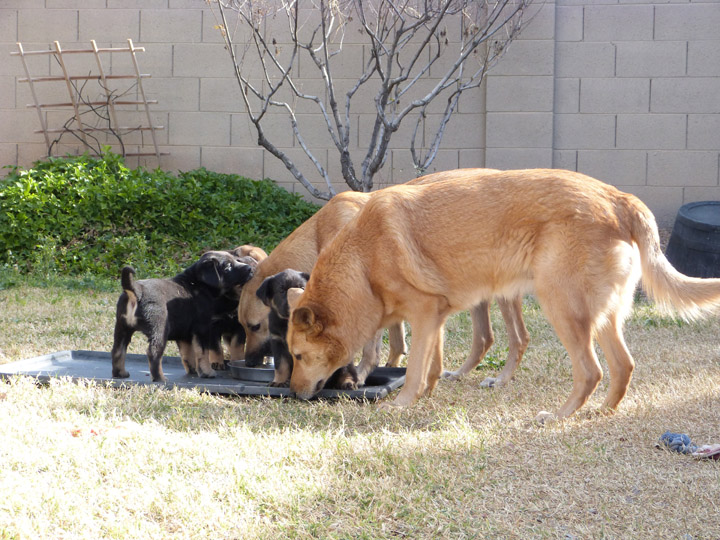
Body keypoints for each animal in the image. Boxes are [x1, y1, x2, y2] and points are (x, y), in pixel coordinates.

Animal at [109, 251, 256, 382]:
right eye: (228, 266)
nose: (250, 269)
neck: (198, 284)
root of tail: (136, 290)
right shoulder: (203, 329)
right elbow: (203, 353)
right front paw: (207, 372)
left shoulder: (184, 334)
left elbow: (188, 354)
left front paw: (193, 371)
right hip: (159, 330)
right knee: (153, 353)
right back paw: (160, 378)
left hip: (122, 328)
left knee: (117, 350)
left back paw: (120, 373)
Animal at [284, 169, 720, 422]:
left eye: (299, 356)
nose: (294, 394)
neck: (363, 258)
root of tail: (620, 200)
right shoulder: (435, 316)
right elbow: (432, 366)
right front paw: (428, 394)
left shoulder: (424, 314)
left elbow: (414, 369)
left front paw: (404, 403)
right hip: (602, 317)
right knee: (623, 365)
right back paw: (601, 412)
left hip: (561, 308)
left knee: (591, 370)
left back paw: (559, 416)